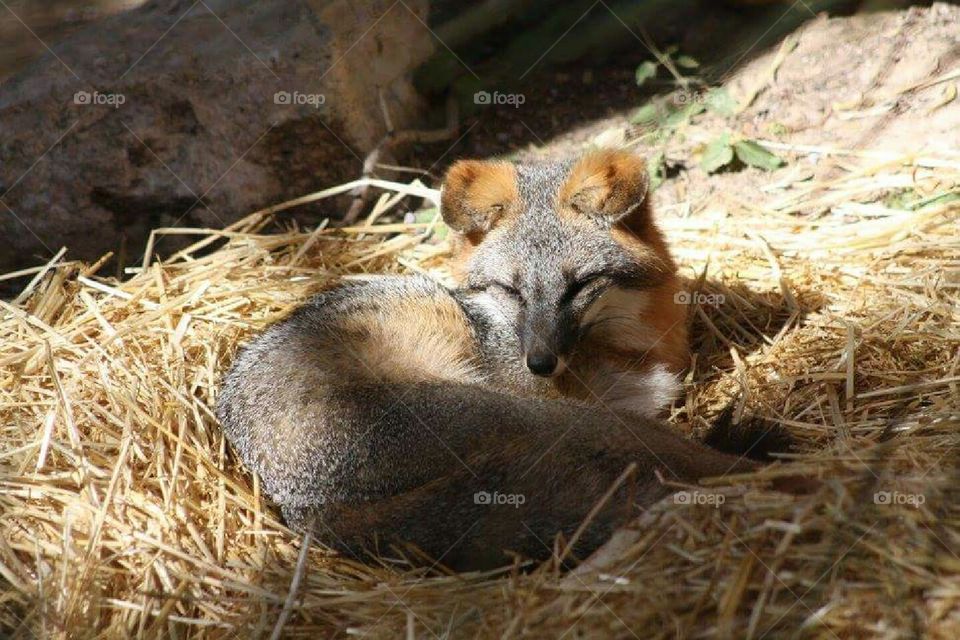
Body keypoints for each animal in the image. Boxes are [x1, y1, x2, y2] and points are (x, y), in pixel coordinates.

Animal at [216, 149, 763, 571]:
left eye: (580, 286)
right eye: (510, 290)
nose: (539, 363)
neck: (630, 343)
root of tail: (301, 508)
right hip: (539, 418)